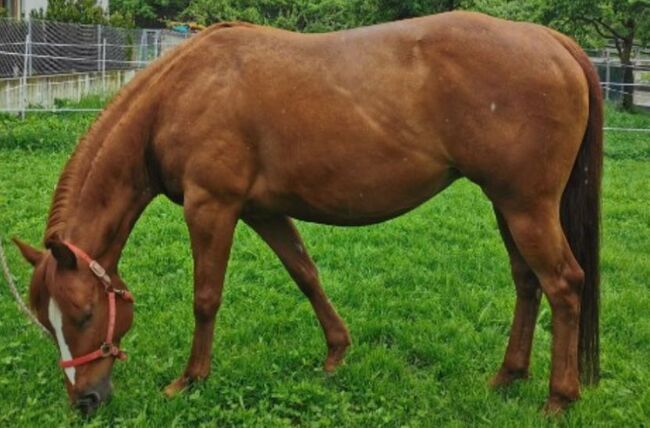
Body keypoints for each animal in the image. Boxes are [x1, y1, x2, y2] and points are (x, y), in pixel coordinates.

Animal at [10, 11, 600, 414]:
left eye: (85, 315)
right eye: (47, 321)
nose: (84, 400)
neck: (180, 91)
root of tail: (552, 41)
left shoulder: (211, 207)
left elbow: (206, 297)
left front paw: (192, 378)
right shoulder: (263, 212)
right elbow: (305, 274)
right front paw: (337, 353)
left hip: (526, 207)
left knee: (564, 284)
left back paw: (559, 397)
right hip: (508, 205)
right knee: (528, 281)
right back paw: (508, 376)